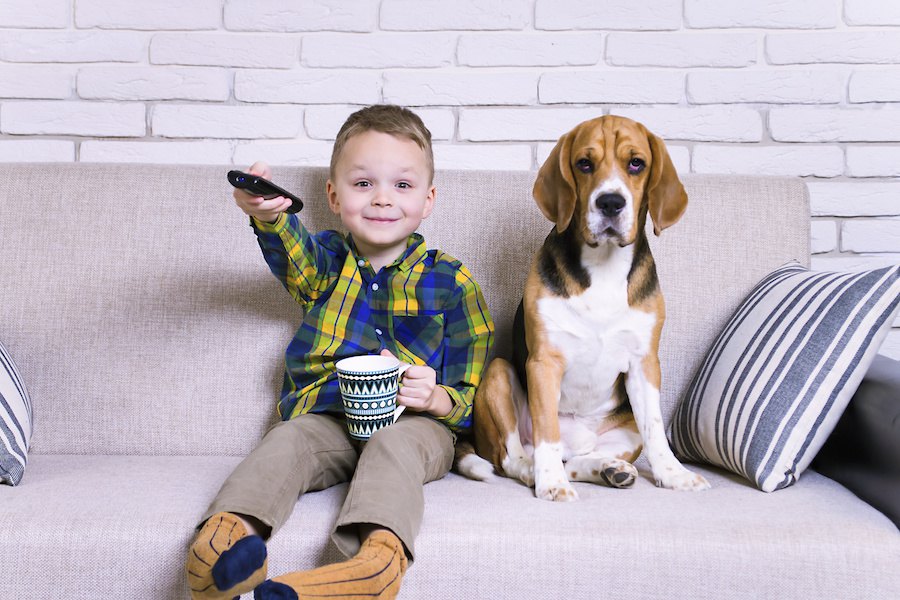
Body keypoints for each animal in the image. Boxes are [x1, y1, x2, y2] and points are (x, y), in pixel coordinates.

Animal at [458, 115, 712, 500]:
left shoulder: (644, 364)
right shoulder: (544, 362)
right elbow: (546, 432)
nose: (610, 202)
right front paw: (551, 484)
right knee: (513, 458)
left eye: (636, 163)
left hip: (626, 431)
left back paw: (609, 468)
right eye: (584, 164)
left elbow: (656, 430)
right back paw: (537, 472)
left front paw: (674, 474)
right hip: (499, 374)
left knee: (576, 461)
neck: (603, 266)